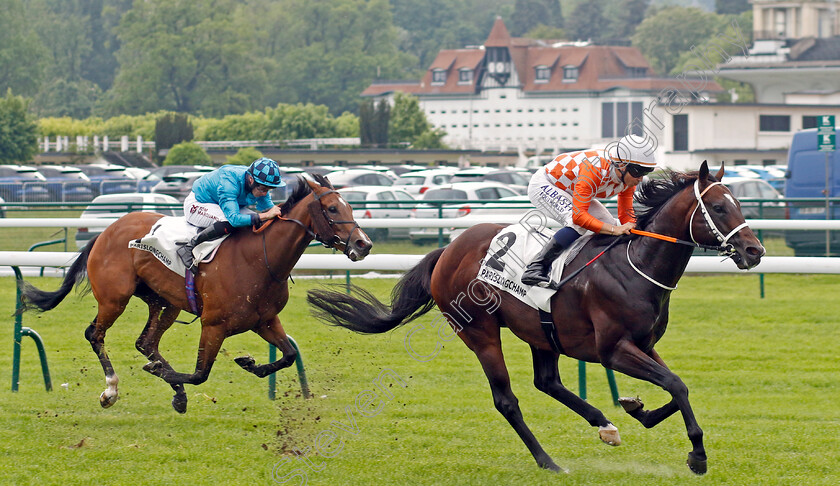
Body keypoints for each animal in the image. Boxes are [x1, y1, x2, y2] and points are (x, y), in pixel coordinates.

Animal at [18, 173, 368, 412]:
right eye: (332, 208)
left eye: (349, 206)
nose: (364, 244)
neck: (260, 258)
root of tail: (106, 231)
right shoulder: (214, 325)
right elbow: (200, 374)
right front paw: (163, 374)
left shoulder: (265, 320)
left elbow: (289, 355)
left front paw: (248, 362)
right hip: (114, 298)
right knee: (95, 334)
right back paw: (112, 390)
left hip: (164, 301)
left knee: (146, 342)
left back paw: (173, 386)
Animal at [310, 163, 768, 474]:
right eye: (717, 207)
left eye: (737, 203)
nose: (755, 251)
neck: (636, 266)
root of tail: (448, 250)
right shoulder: (614, 350)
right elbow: (676, 385)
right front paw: (697, 455)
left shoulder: (644, 345)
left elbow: (678, 386)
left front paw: (635, 408)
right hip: (479, 332)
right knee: (507, 400)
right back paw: (548, 460)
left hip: (541, 332)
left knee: (547, 382)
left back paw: (604, 425)